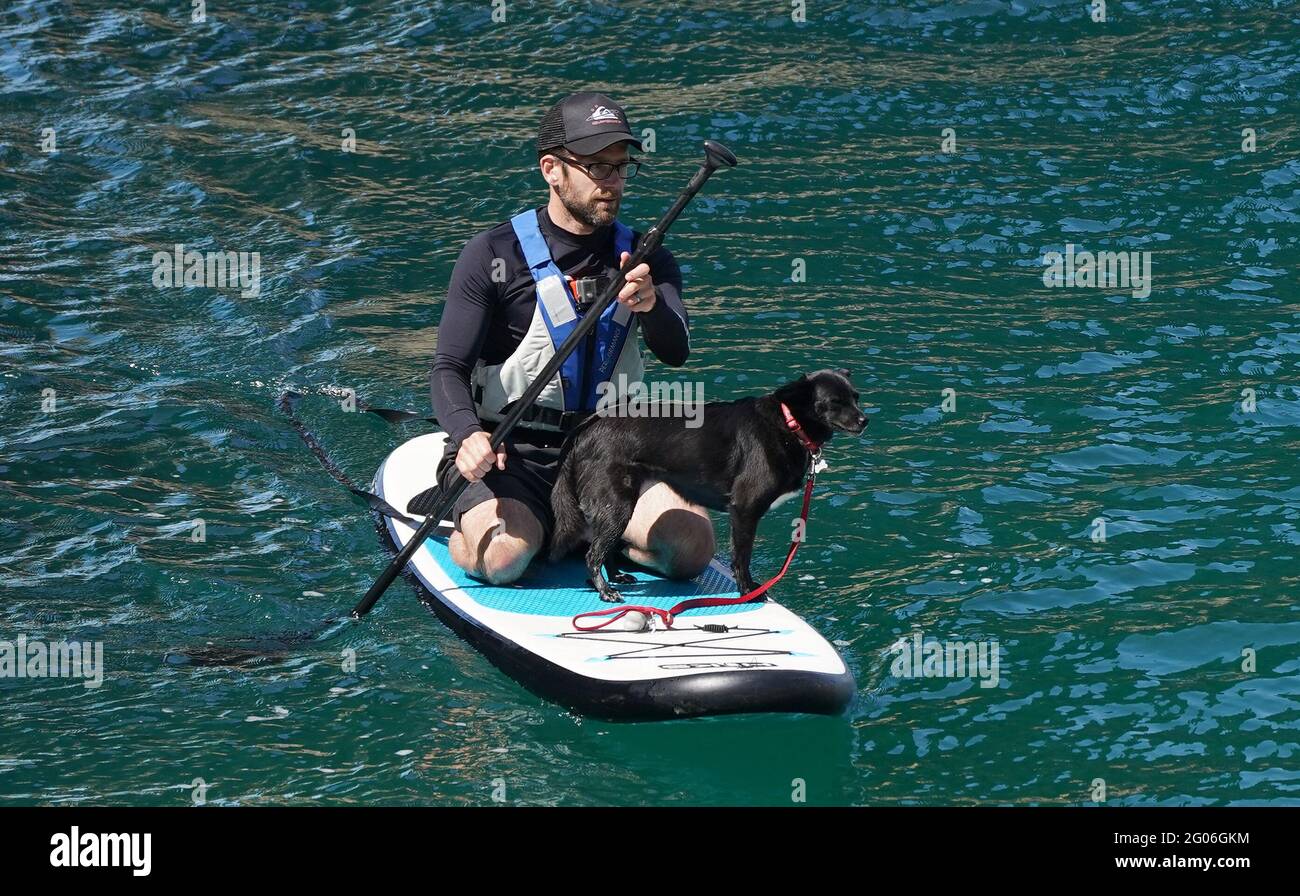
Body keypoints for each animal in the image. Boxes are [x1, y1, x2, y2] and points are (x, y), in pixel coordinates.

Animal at [543, 366, 868, 603]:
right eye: (835, 402)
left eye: (856, 397)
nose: (865, 421)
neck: (790, 424)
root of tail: (587, 428)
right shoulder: (745, 510)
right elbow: (741, 557)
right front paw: (748, 591)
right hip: (617, 505)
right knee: (593, 552)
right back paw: (605, 591)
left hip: (618, 505)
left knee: (604, 547)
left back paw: (616, 578)